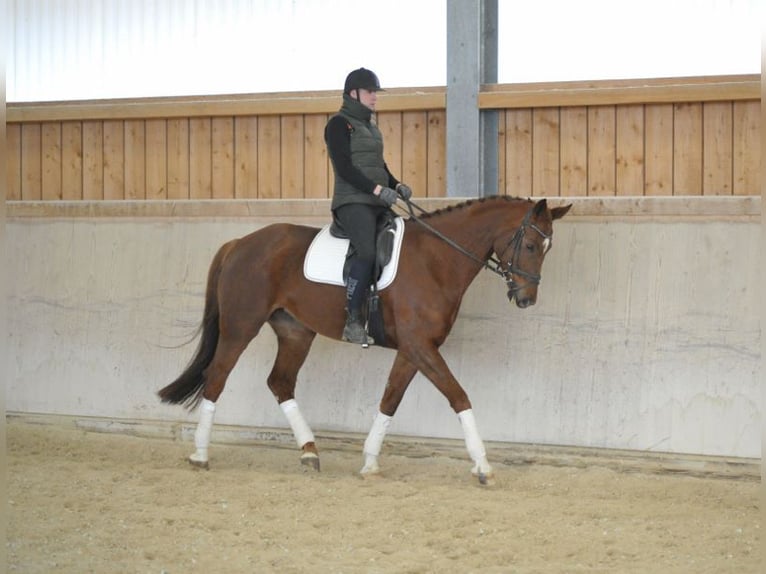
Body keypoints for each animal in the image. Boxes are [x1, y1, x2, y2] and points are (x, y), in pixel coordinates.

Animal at [159, 197, 572, 486]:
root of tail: (240, 242)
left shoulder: (413, 349)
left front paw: (370, 463)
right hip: (241, 326)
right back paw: (200, 455)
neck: (437, 260)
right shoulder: (421, 347)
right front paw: (483, 465)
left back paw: (309, 453)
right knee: (217, 377)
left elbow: (390, 400)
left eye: (549, 248)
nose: (526, 299)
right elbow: (459, 396)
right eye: (531, 245)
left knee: (280, 382)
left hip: (295, 331)